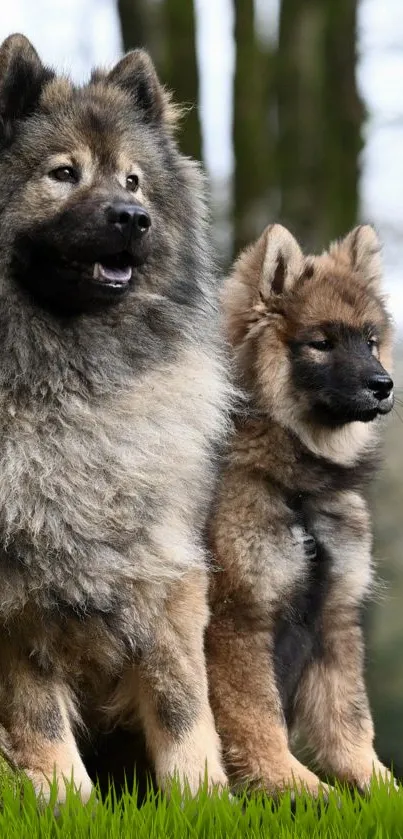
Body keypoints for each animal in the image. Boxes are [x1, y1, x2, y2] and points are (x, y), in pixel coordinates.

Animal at [207, 221, 396, 796]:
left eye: (370, 341)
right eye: (321, 343)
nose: (384, 386)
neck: (298, 490)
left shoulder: (335, 618)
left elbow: (350, 721)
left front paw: (375, 788)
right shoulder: (240, 619)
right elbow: (257, 717)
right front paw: (294, 788)